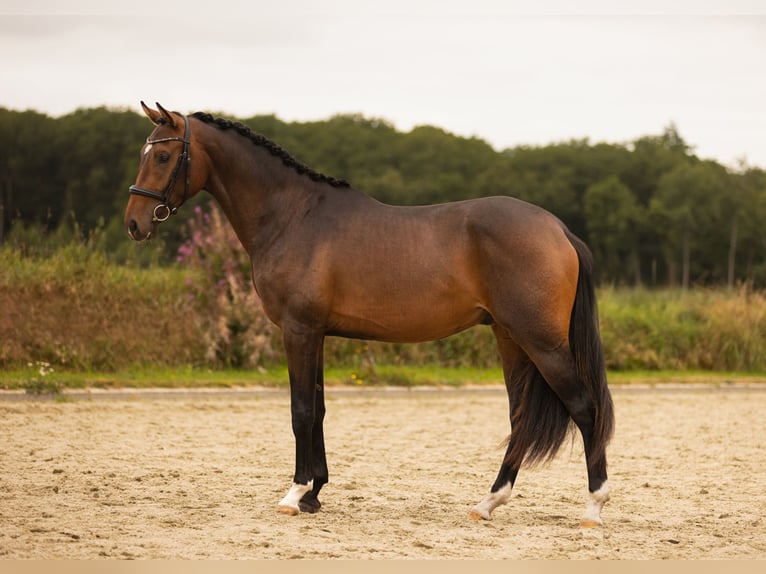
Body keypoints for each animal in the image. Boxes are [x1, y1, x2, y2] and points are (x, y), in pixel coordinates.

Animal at [125, 102, 614, 527]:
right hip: (510, 338)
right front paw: (316, 493)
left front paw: (295, 494)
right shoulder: (317, 333)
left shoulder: (298, 331)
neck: (292, 216)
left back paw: (593, 506)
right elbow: (319, 410)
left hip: (541, 341)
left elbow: (301, 410)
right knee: (520, 419)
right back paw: (488, 502)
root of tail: (558, 229)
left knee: (584, 407)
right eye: (146, 151)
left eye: (164, 155)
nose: (134, 223)